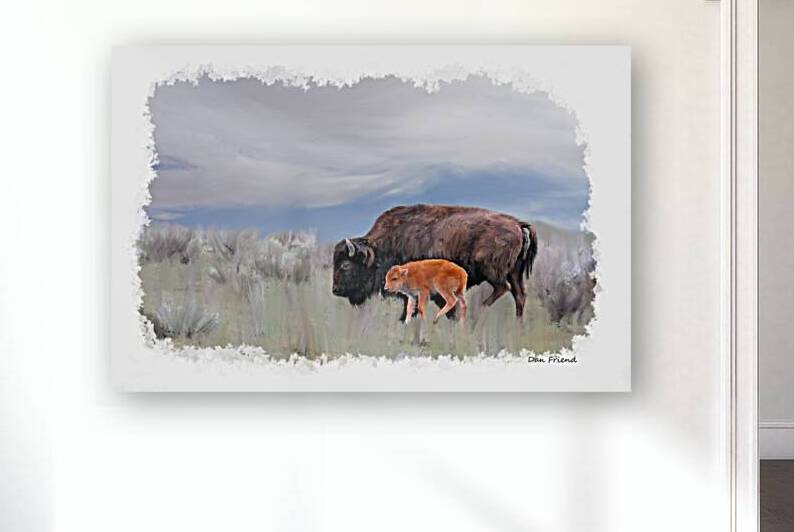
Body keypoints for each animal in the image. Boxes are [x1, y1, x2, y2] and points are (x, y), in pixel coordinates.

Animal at [332, 204, 538, 320]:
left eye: (345, 265)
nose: (336, 290)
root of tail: (517, 224)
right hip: (515, 273)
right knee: (519, 296)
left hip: (492, 271)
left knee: (503, 289)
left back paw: (478, 312)